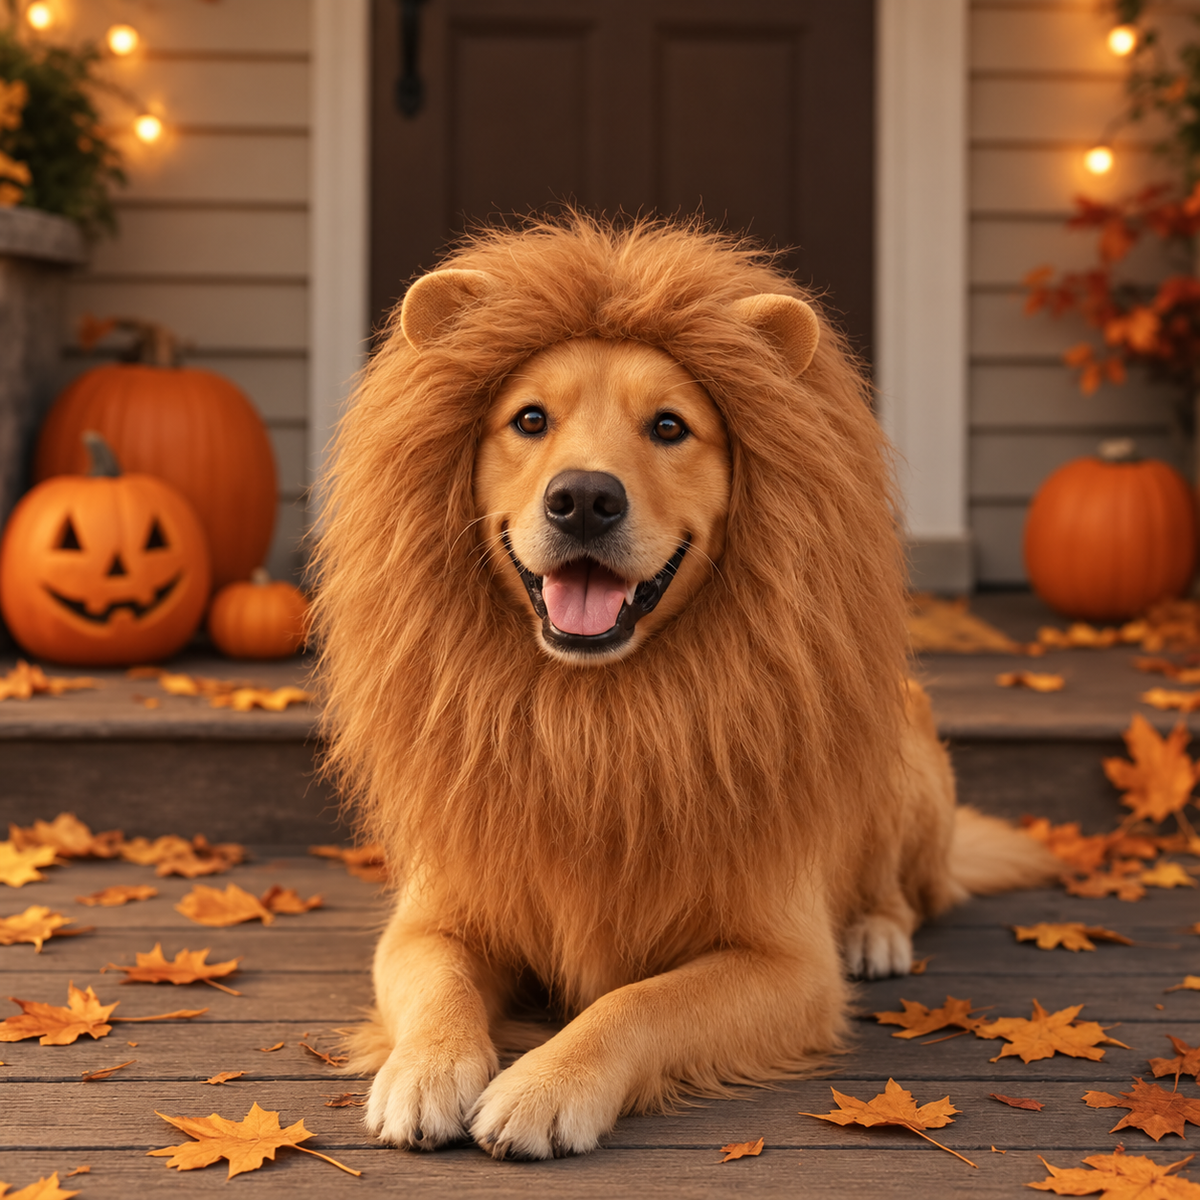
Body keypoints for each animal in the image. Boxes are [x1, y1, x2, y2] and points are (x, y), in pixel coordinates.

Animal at [311, 213, 1057, 1160]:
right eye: (528, 419)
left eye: (669, 426)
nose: (583, 499)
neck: (595, 714)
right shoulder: (431, 917)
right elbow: (439, 985)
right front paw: (425, 1069)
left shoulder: (783, 962)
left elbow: (638, 1004)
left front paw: (546, 1087)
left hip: (904, 761)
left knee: (910, 889)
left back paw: (875, 932)